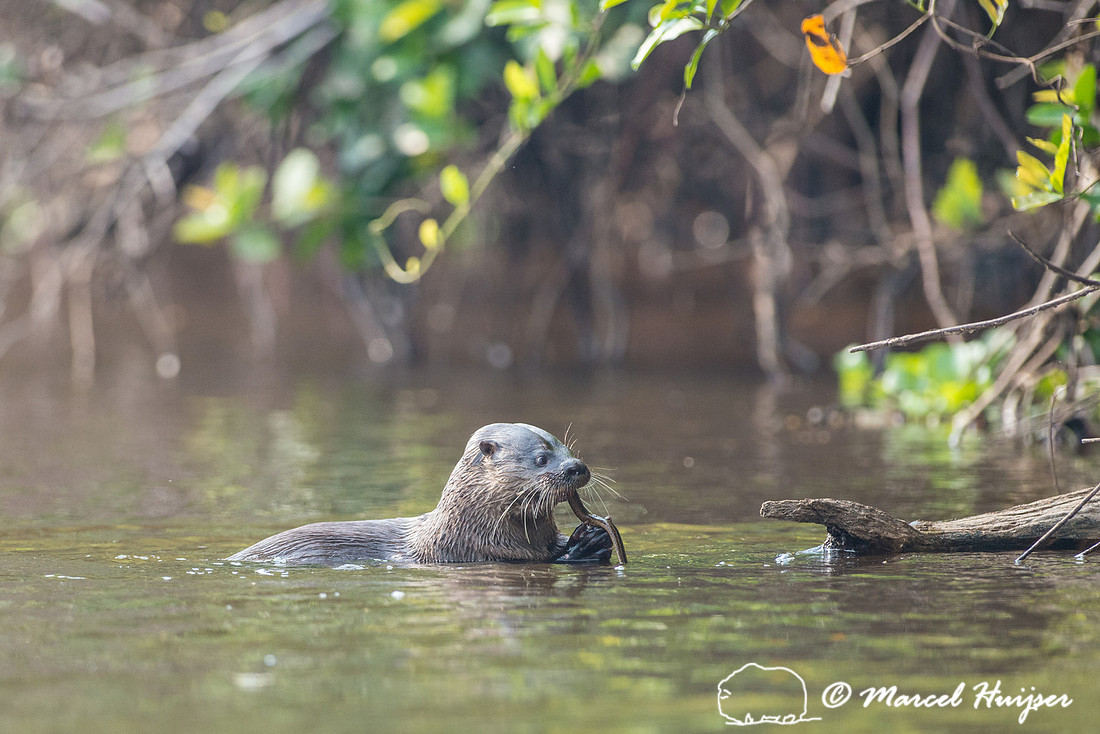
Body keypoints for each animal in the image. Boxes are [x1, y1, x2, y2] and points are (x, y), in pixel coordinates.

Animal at [227, 423, 613, 565]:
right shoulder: (479, 550)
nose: (577, 467)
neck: (469, 526)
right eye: (541, 458)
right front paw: (584, 546)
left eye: (569, 448)